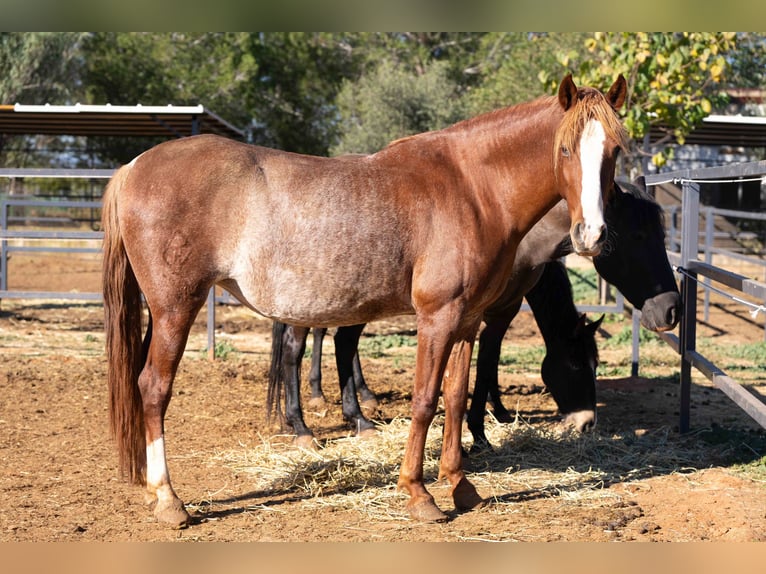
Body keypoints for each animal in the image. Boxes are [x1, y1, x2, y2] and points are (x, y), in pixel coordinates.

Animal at [103, 74, 632, 528]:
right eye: (563, 149)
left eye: (614, 150)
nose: (591, 236)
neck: (472, 190)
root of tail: (133, 167)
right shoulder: (438, 319)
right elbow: (424, 400)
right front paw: (419, 494)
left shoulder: (467, 322)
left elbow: (456, 398)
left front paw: (460, 485)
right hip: (176, 307)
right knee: (154, 386)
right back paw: (170, 499)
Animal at [270, 180, 684, 450]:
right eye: (638, 237)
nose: (670, 309)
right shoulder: (488, 311)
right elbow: (481, 366)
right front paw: (479, 433)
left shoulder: (503, 309)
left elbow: (489, 362)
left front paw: (493, 415)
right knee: (300, 347)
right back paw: (305, 425)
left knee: (340, 342)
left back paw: (355, 415)